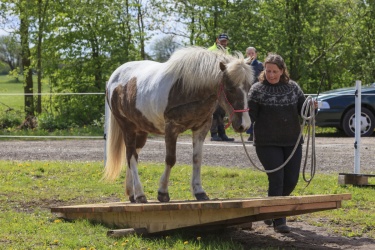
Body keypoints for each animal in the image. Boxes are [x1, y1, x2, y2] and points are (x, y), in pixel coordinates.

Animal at [104, 47, 254, 203]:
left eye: (249, 87)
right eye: (230, 89)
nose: (244, 125)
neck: (188, 88)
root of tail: (114, 77)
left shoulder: (201, 127)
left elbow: (197, 158)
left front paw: (199, 191)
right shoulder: (171, 128)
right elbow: (170, 159)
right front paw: (162, 192)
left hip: (141, 130)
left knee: (133, 154)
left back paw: (132, 193)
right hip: (128, 128)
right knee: (131, 156)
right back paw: (140, 194)